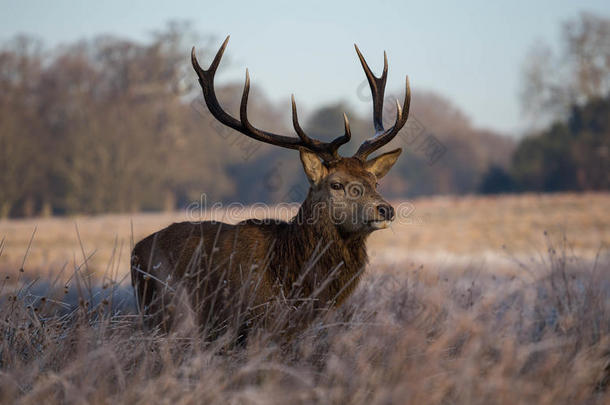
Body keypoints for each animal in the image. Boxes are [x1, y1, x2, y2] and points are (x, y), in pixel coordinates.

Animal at [129, 36, 408, 340]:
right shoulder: (254, 324)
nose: (385, 209)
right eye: (336, 184)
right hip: (165, 312)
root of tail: (135, 252)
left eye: (374, 181)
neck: (293, 279)